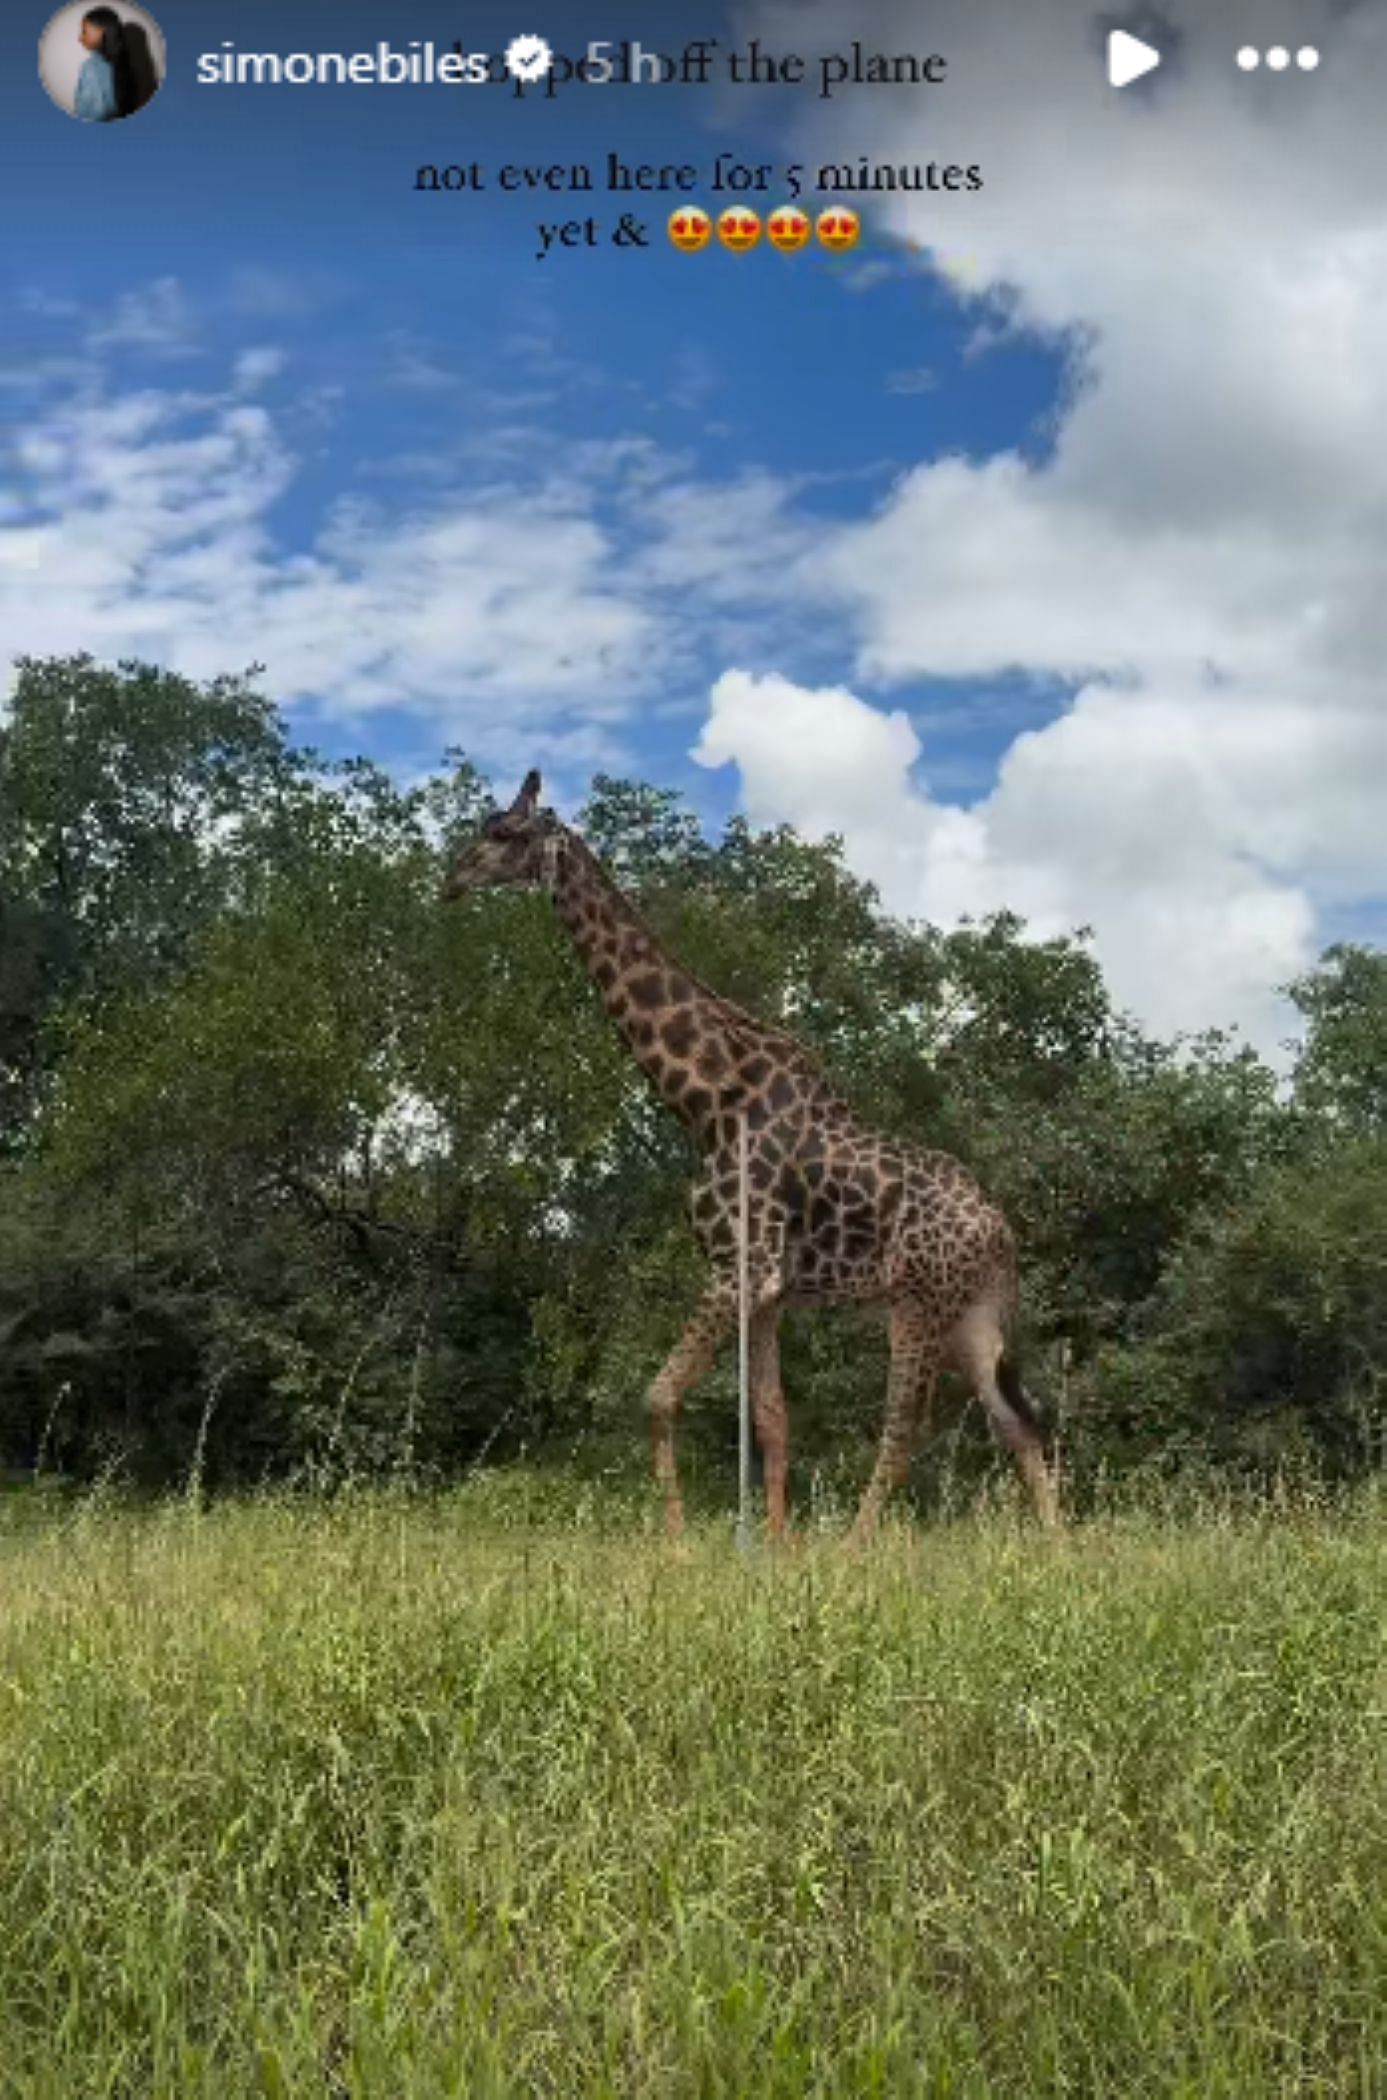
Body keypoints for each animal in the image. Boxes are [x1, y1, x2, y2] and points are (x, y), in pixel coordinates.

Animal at [443, 772, 1063, 1545]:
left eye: (503, 833)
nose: (451, 879)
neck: (705, 1099)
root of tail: (998, 1231)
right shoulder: (766, 1289)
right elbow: (772, 1418)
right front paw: (775, 1547)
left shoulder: (739, 1266)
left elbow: (656, 1398)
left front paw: (680, 1547)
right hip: (972, 1313)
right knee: (1017, 1420)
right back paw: (1059, 1548)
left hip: (917, 1301)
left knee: (905, 1426)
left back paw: (852, 1551)